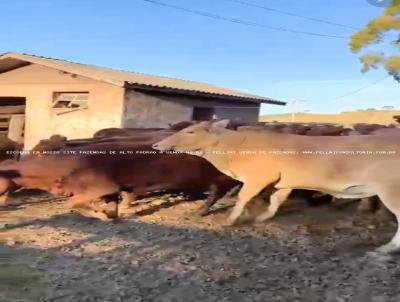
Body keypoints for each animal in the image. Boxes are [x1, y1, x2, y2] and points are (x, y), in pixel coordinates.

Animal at [154, 119, 400, 254]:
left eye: (190, 131)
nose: (157, 145)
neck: (235, 147)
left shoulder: (258, 178)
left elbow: (244, 198)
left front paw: (230, 220)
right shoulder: (284, 182)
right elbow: (275, 200)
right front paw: (261, 217)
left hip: (391, 190)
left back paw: (387, 248)